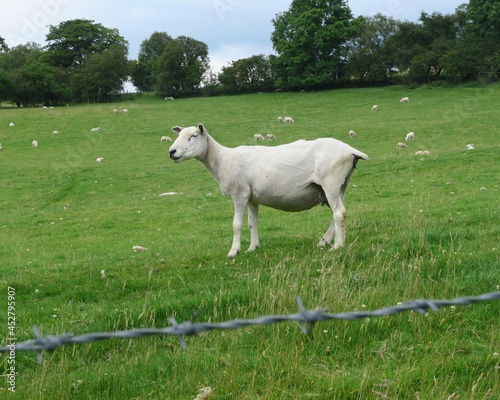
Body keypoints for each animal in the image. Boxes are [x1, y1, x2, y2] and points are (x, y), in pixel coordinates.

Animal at [168, 123, 368, 258]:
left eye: (193, 135)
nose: (172, 152)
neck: (222, 160)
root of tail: (350, 150)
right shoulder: (251, 198)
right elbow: (252, 223)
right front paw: (252, 248)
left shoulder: (240, 194)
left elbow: (236, 224)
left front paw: (234, 251)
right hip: (341, 185)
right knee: (338, 214)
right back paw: (325, 241)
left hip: (331, 182)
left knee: (339, 213)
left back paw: (337, 246)